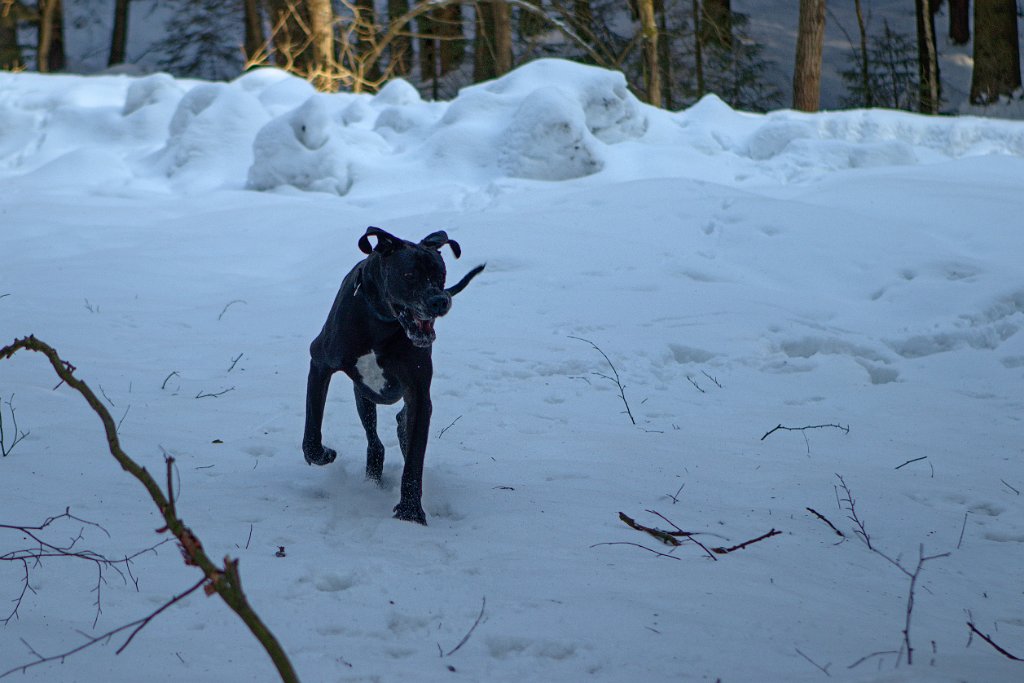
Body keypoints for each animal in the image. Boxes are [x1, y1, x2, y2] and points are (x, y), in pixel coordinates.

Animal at [299, 227, 483, 528]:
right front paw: (324, 454)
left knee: (400, 429)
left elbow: (414, 460)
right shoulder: (320, 362)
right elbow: (312, 431)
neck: (381, 322)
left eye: (441, 273)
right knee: (375, 442)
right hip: (363, 396)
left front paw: (410, 512)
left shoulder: (418, 395)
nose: (440, 300)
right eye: (409, 275)